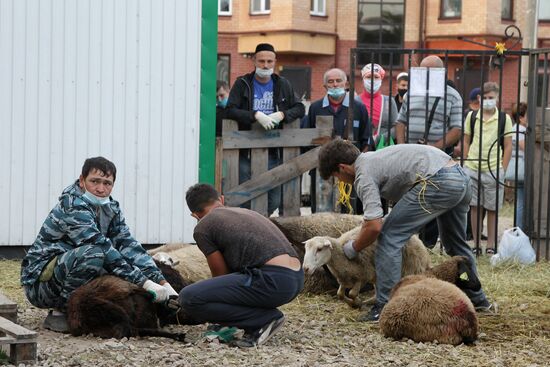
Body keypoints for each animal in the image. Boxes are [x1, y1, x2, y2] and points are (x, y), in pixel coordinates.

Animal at [304, 227, 434, 308]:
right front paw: (353, 303)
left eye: (319, 249)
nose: (305, 268)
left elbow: (352, 293)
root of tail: (418, 240)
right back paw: (371, 302)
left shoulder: (363, 275)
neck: (342, 255)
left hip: (411, 268)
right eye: (306, 249)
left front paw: (356, 302)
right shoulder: (345, 278)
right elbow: (340, 294)